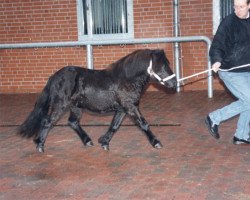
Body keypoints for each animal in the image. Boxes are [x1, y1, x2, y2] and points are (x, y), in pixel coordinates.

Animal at [18, 48, 176, 152]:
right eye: (162, 65)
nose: (174, 84)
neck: (127, 79)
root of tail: (54, 77)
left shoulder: (122, 109)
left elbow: (114, 125)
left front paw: (104, 142)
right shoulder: (131, 107)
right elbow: (143, 124)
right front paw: (156, 143)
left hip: (75, 106)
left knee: (73, 122)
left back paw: (87, 141)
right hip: (60, 105)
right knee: (47, 121)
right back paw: (40, 145)